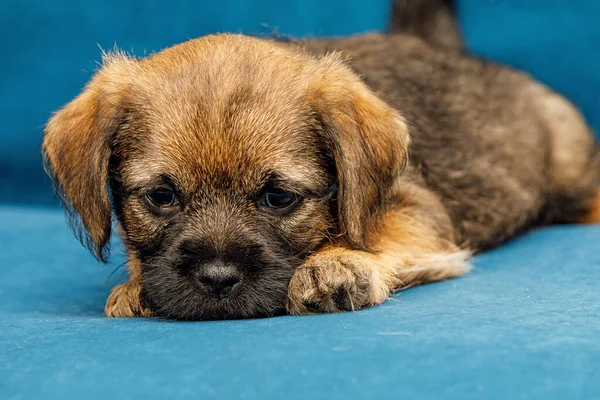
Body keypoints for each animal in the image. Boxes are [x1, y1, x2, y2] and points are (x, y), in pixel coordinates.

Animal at [42, 31, 600, 320]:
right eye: (160, 196)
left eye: (278, 197)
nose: (217, 279)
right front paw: (136, 287)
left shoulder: (416, 208)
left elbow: (379, 233)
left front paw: (338, 264)